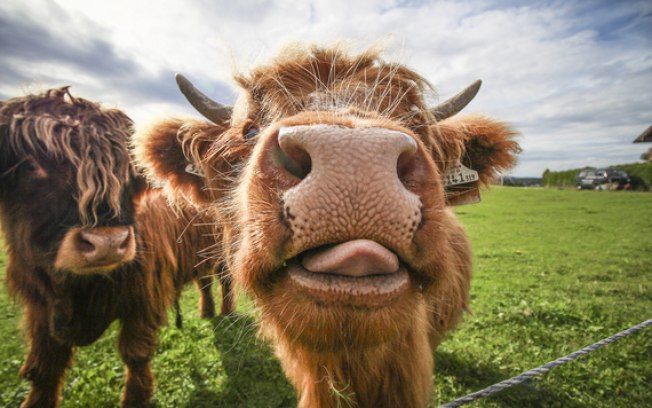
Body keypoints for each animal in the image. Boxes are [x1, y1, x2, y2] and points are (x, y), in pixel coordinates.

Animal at [0, 87, 234, 408]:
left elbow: (135, 356)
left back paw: (227, 313)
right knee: (205, 282)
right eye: (33, 166)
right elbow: (43, 369)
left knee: (224, 280)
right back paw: (207, 313)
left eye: (128, 175)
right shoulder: (39, 306)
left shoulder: (144, 298)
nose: (107, 243)